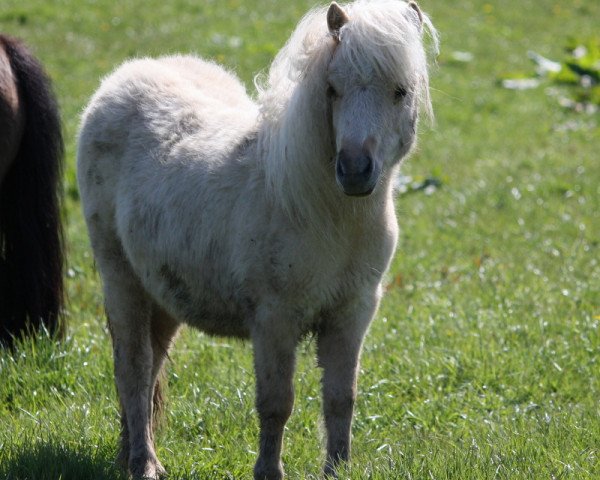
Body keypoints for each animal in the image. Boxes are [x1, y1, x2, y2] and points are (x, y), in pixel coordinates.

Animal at [77, 0, 438, 480]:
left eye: (400, 91)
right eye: (332, 90)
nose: (355, 170)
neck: (326, 214)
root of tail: (121, 80)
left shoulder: (352, 314)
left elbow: (341, 399)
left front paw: (337, 468)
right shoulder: (274, 319)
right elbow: (276, 404)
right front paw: (268, 471)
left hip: (163, 295)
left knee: (150, 369)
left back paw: (129, 454)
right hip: (122, 281)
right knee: (133, 370)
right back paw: (144, 463)